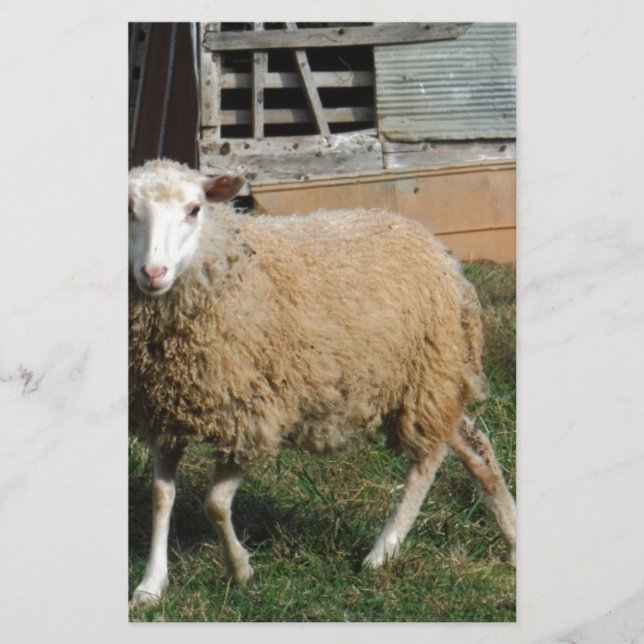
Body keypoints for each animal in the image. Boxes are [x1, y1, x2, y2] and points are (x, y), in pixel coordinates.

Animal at [128, 158, 516, 608]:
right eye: (128, 210)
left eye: (194, 209)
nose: (153, 272)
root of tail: (439, 251)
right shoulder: (165, 414)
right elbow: (161, 497)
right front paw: (150, 586)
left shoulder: (253, 417)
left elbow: (215, 505)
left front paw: (240, 569)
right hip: (430, 380)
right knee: (475, 446)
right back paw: (514, 539)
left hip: (427, 376)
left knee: (428, 460)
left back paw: (382, 551)